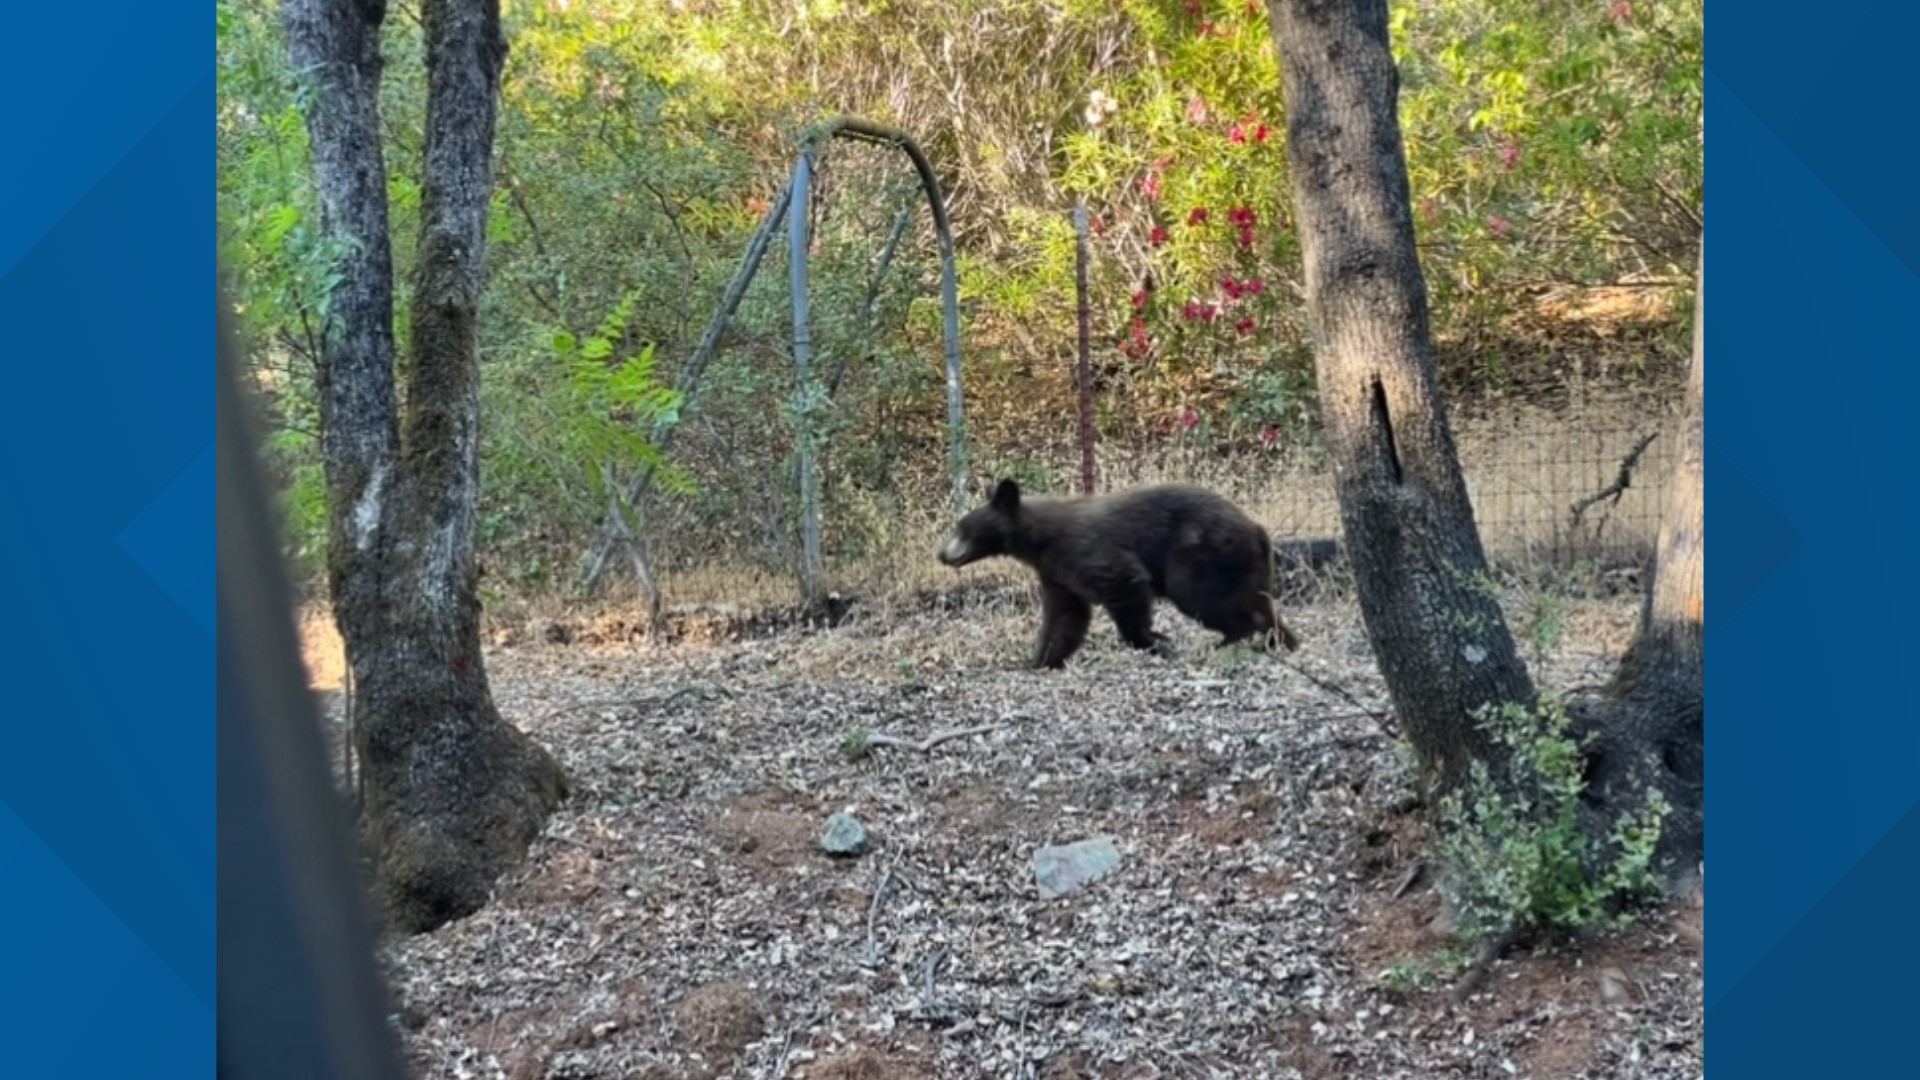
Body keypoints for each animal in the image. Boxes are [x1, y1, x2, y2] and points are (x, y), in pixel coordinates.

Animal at [933, 476, 1305, 664]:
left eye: (963, 529)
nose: (942, 554)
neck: (1039, 540)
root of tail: (1256, 528)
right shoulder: (1056, 573)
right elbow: (1065, 617)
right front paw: (1040, 659)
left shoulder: (1085, 550)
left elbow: (1125, 582)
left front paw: (1155, 640)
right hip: (1248, 566)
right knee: (1260, 604)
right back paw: (1280, 641)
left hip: (1201, 553)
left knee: (1201, 596)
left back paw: (1229, 640)